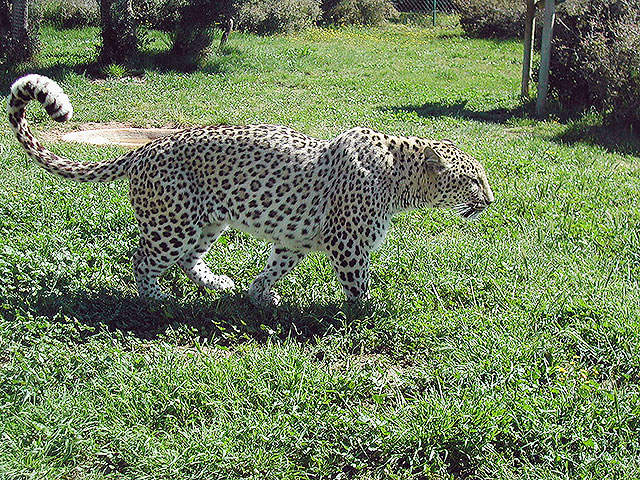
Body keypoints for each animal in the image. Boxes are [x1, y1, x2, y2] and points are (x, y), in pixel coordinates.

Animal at [6, 75, 496, 308]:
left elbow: (274, 268)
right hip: (173, 224)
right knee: (143, 258)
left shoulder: (295, 240)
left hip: (205, 221)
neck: (401, 180)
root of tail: (145, 148)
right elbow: (358, 285)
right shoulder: (348, 244)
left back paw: (220, 283)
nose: (491, 201)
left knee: (188, 259)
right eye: (472, 178)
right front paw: (371, 312)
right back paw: (154, 298)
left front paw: (259, 295)